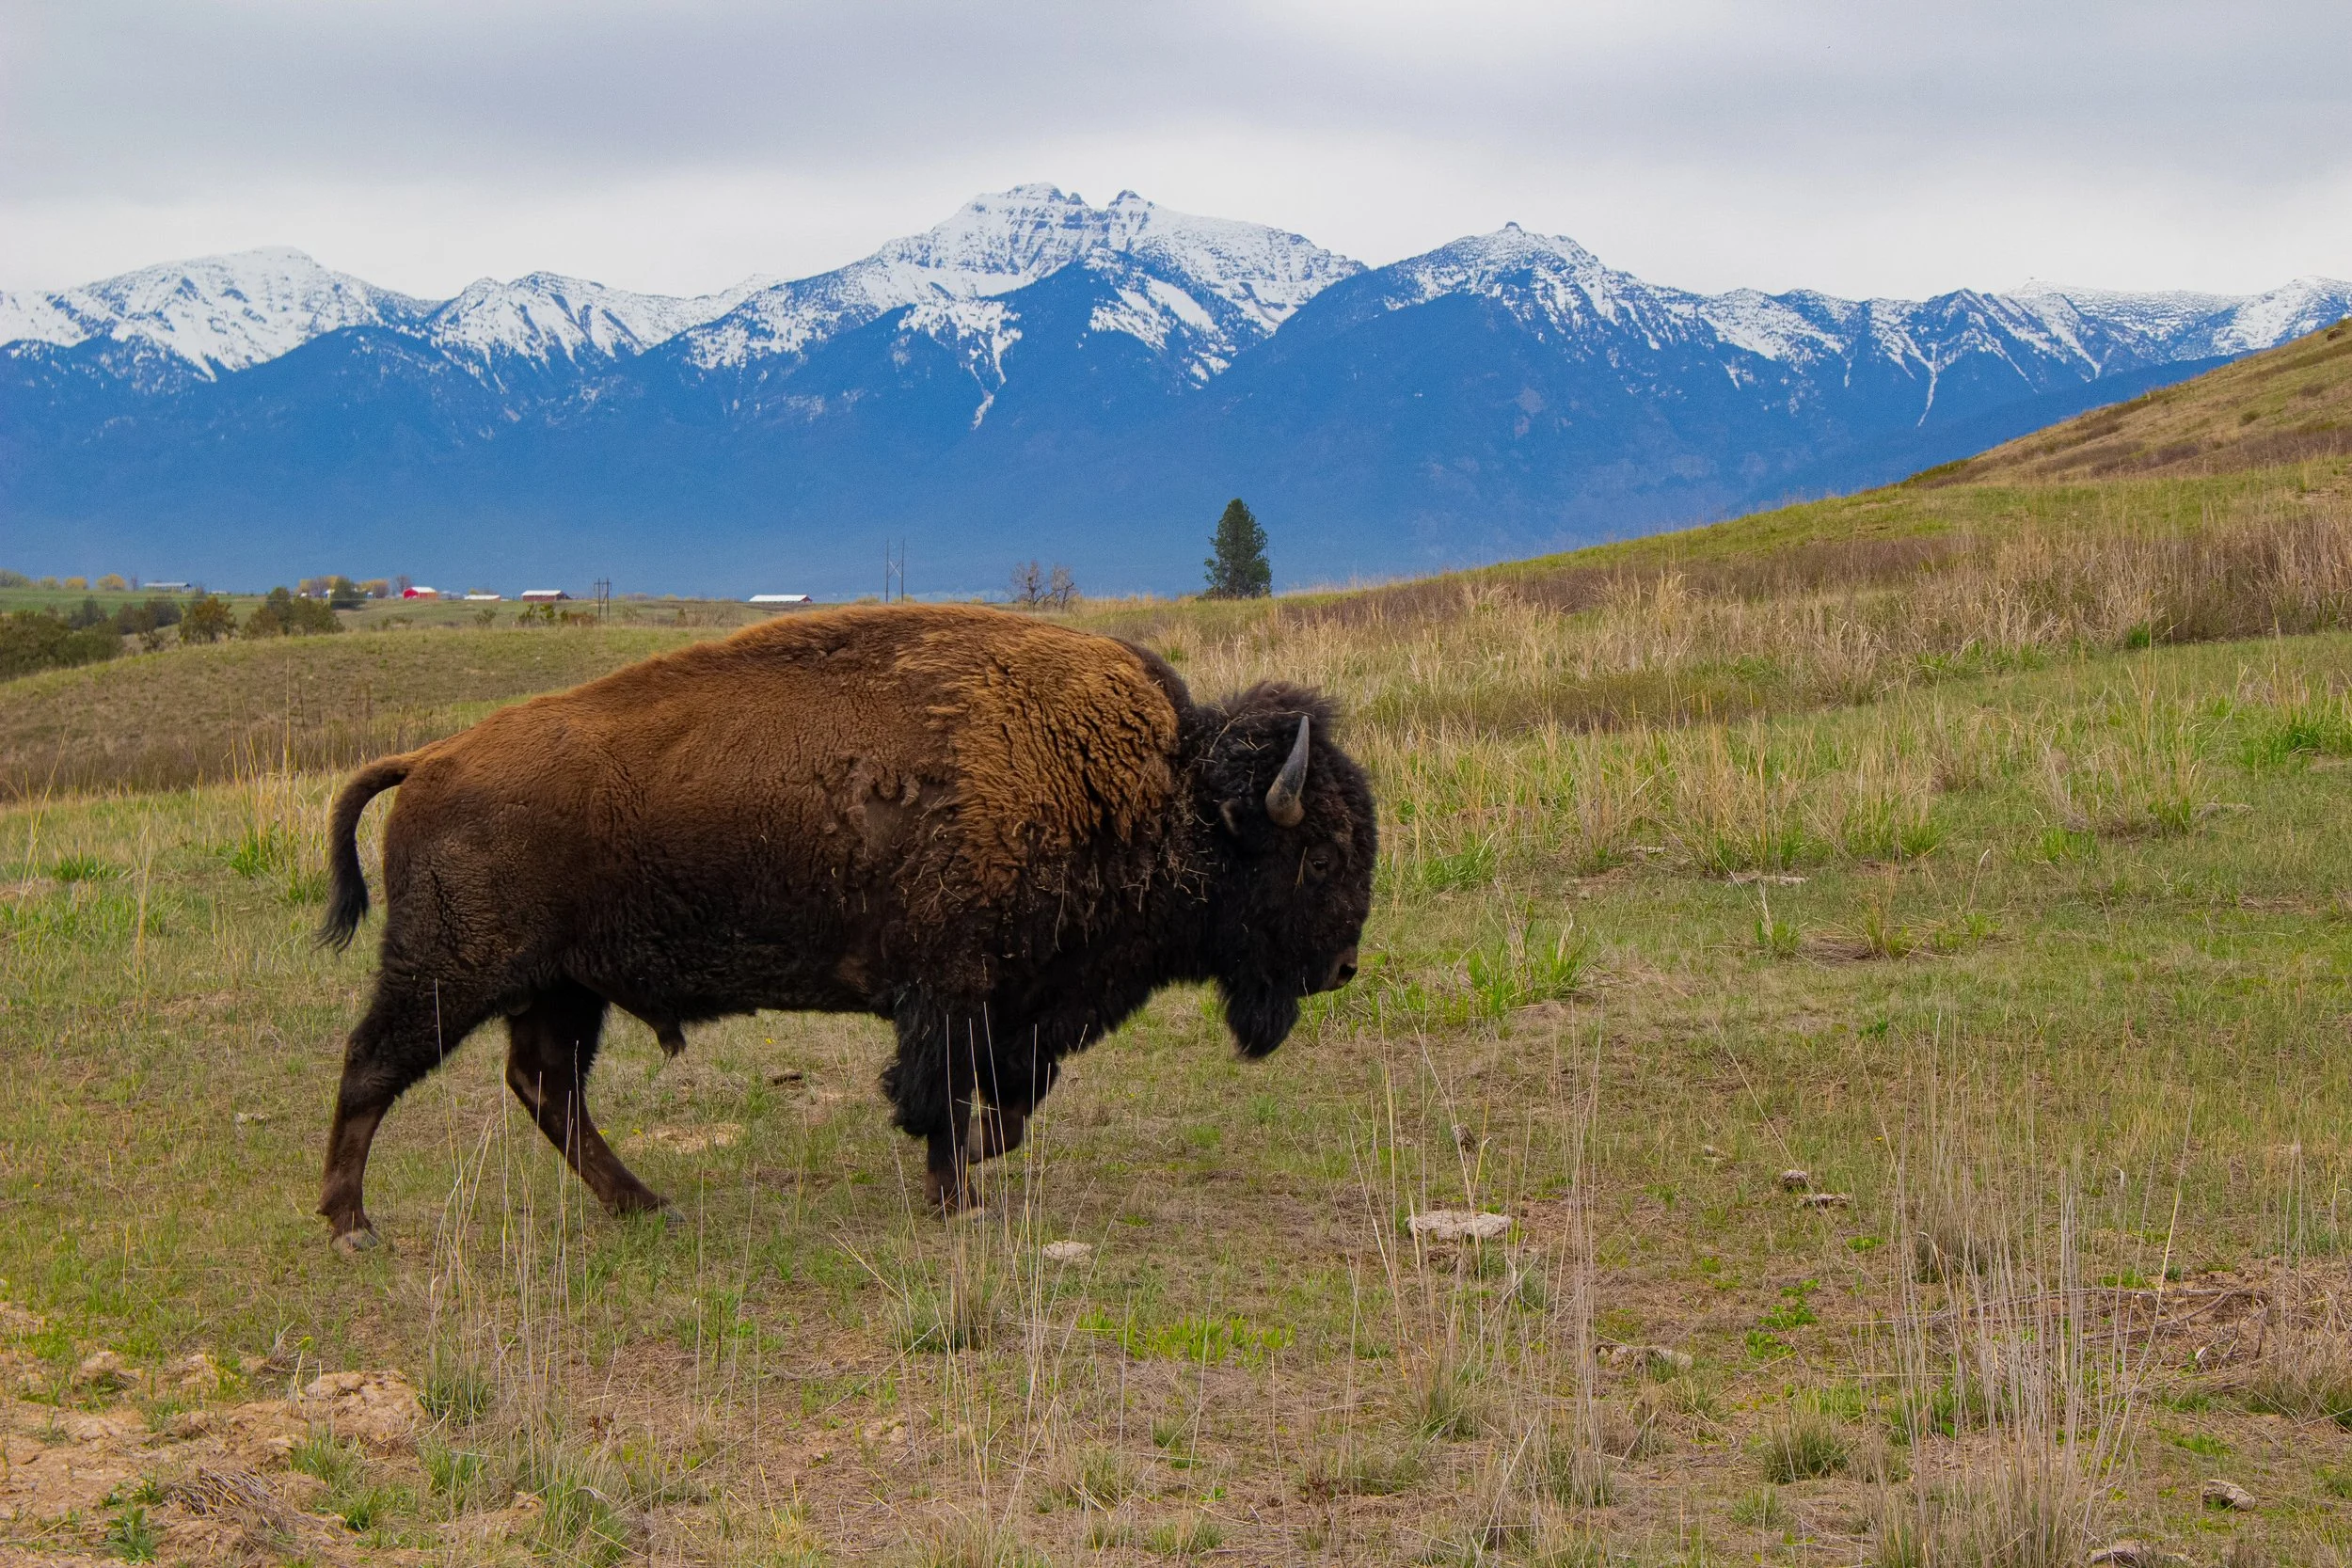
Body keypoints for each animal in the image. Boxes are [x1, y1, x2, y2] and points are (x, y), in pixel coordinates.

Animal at [315, 603, 1376, 1250]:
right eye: (1321, 855)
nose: (1342, 966)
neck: (1161, 787)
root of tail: (432, 757)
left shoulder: (1018, 1009)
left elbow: (1010, 1104)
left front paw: (973, 1169)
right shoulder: (954, 997)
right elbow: (947, 1096)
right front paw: (959, 1196)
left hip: (561, 989)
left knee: (546, 1088)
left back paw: (647, 1205)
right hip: (452, 973)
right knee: (373, 1066)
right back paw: (350, 1222)